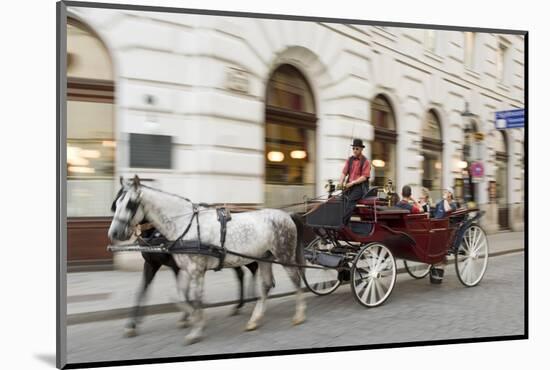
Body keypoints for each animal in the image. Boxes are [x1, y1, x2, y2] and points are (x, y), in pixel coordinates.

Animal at [108, 176, 306, 344]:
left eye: (130, 204)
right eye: (116, 204)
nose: (114, 233)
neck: (184, 225)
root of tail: (287, 215)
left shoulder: (195, 270)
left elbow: (194, 298)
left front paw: (195, 330)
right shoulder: (185, 269)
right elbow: (181, 297)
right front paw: (198, 321)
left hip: (284, 256)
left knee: (296, 280)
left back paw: (299, 315)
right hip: (264, 257)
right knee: (265, 285)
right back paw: (254, 320)